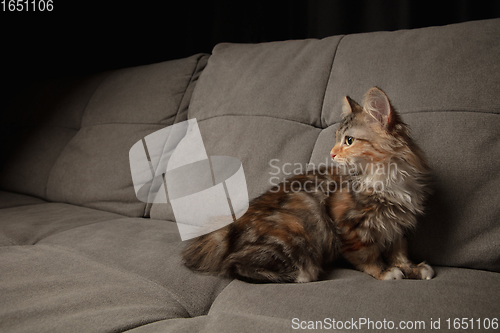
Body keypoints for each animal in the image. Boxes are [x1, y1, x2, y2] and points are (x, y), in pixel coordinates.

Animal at [183, 87, 434, 282]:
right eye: (337, 139)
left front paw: (411, 269)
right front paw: (385, 272)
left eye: (349, 140)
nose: (331, 153)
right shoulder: (348, 223)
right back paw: (301, 275)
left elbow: (399, 253)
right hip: (298, 227)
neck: (386, 178)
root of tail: (231, 226)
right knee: (234, 265)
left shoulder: (398, 225)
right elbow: (368, 255)